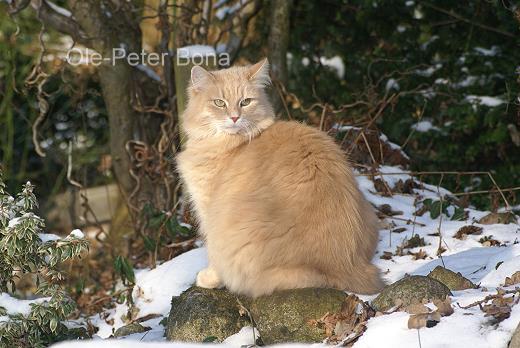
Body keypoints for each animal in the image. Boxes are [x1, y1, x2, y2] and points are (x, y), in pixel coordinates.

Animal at [177, 58, 384, 298]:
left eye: (245, 102)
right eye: (219, 103)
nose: (235, 117)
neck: (232, 145)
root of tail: (344, 264)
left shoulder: (208, 210)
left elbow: (212, 254)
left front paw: (209, 278)